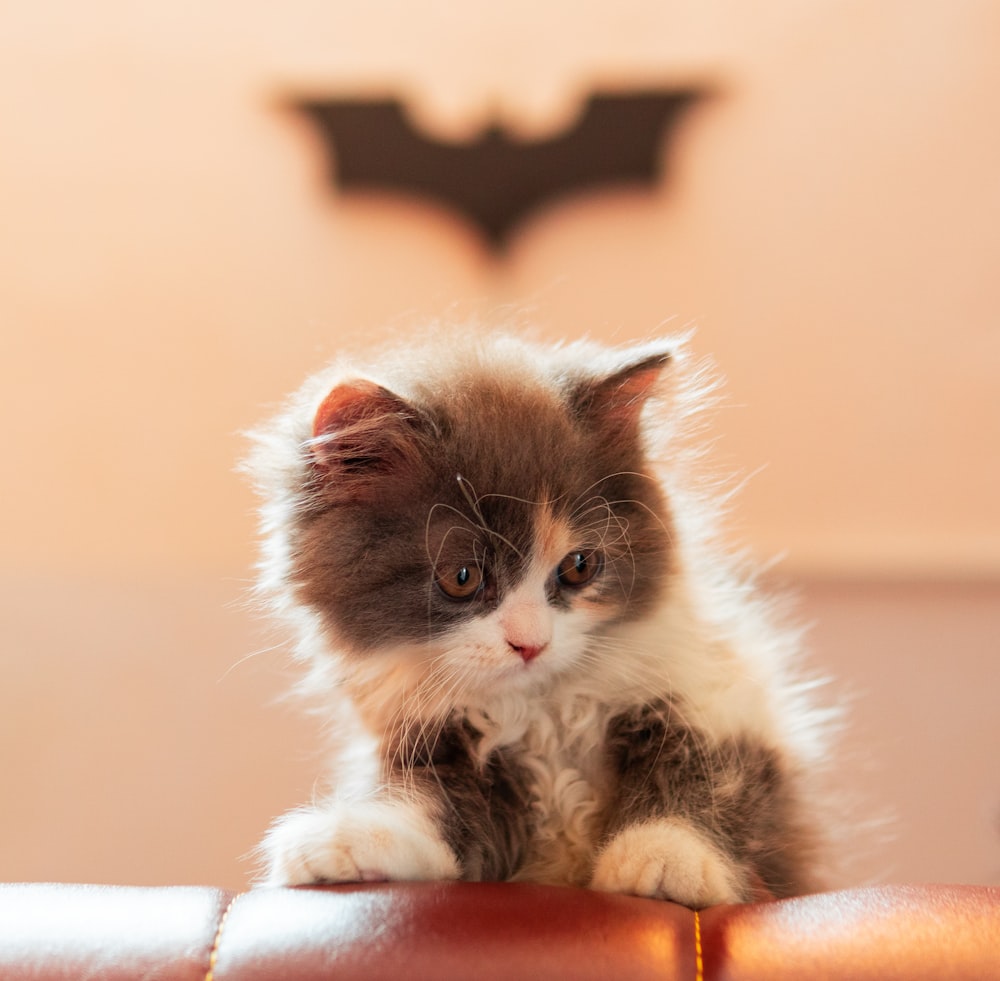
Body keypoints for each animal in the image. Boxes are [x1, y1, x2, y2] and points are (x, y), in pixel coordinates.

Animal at [246, 330, 832, 904]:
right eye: (462, 577)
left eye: (579, 566)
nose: (530, 644)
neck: (540, 713)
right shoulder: (440, 749)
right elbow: (430, 812)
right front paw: (344, 838)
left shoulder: (720, 706)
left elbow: (702, 777)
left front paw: (667, 857)